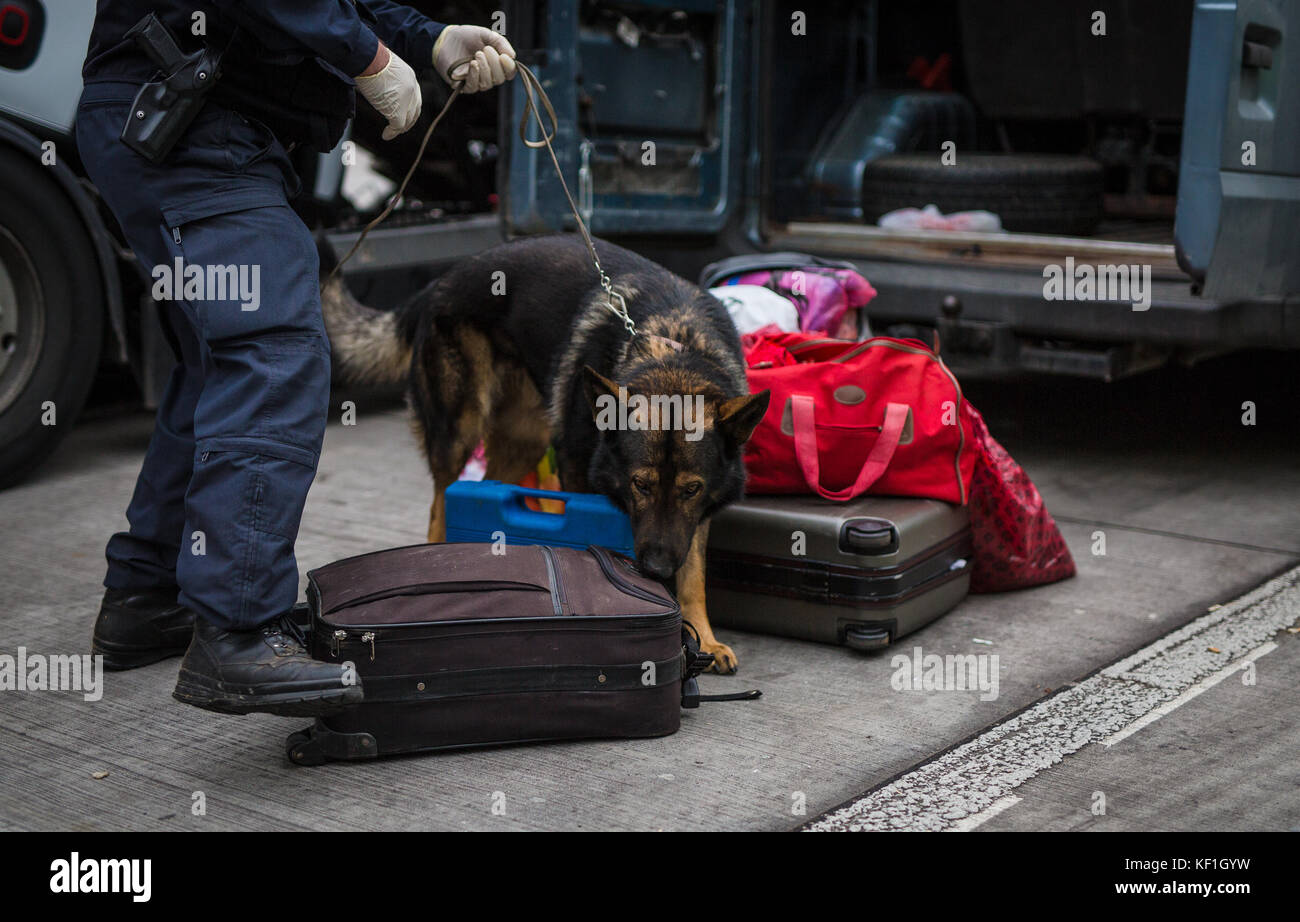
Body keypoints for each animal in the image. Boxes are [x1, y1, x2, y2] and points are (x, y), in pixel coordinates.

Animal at [322, 234, 769, 671]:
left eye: (691, 490)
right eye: (640, 485)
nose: (656, 569)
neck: (675, 358)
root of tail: (441, 280)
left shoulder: (695, 517)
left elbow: (693, 575)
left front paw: (703, 638)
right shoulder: (577, 474)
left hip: (525, 440)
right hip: (460, 429)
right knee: (439, 505)